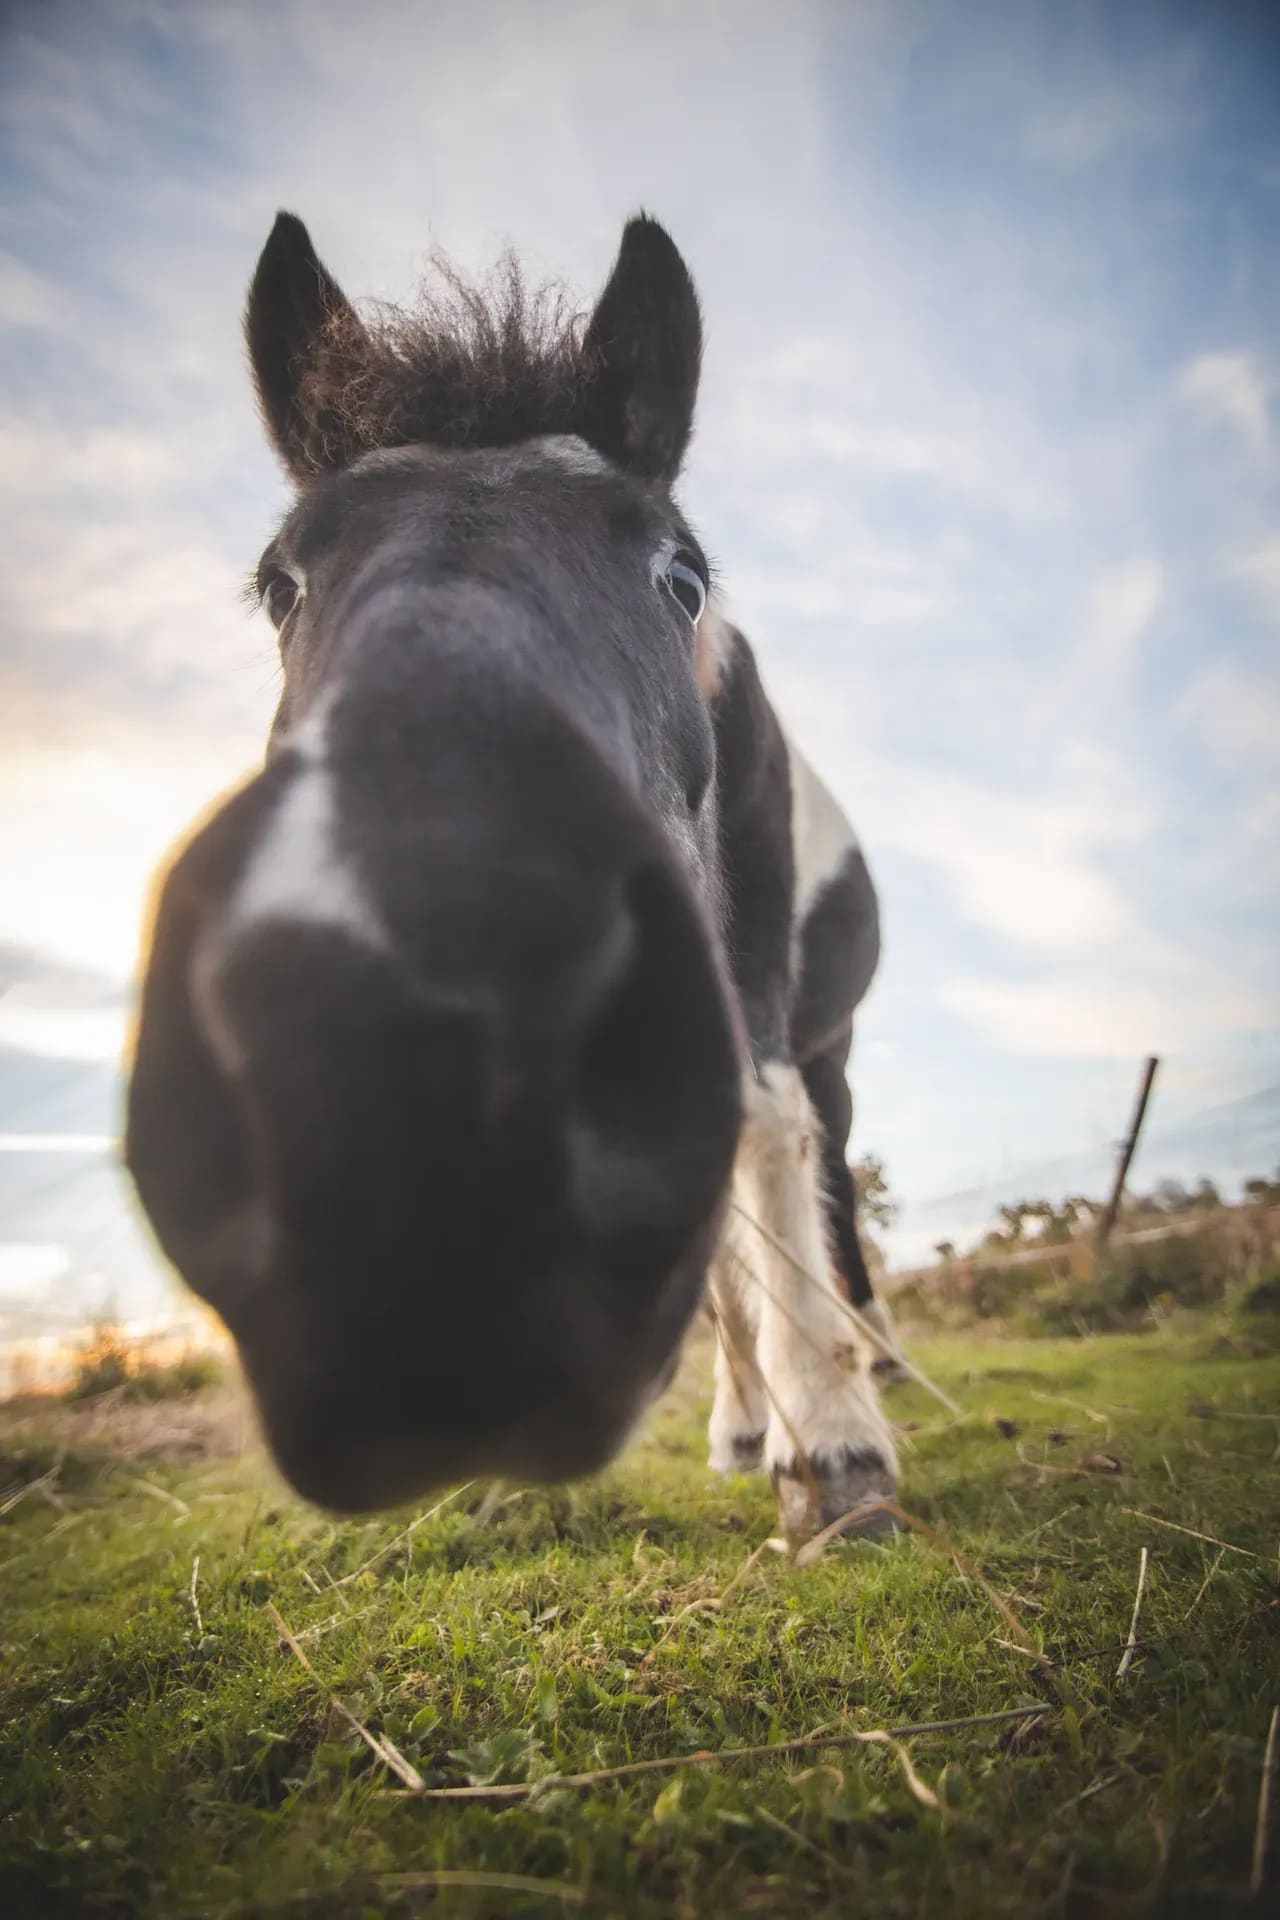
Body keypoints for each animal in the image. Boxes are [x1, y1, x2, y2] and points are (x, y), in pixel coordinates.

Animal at [125, 209, 902, 1542]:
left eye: (678, 575)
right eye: (280, 584)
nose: (405, 1064)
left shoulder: (746, 977)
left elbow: (766, 1140)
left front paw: (841, 1449)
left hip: (824, 1041)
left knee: (823, 1179)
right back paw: (745, 1425)